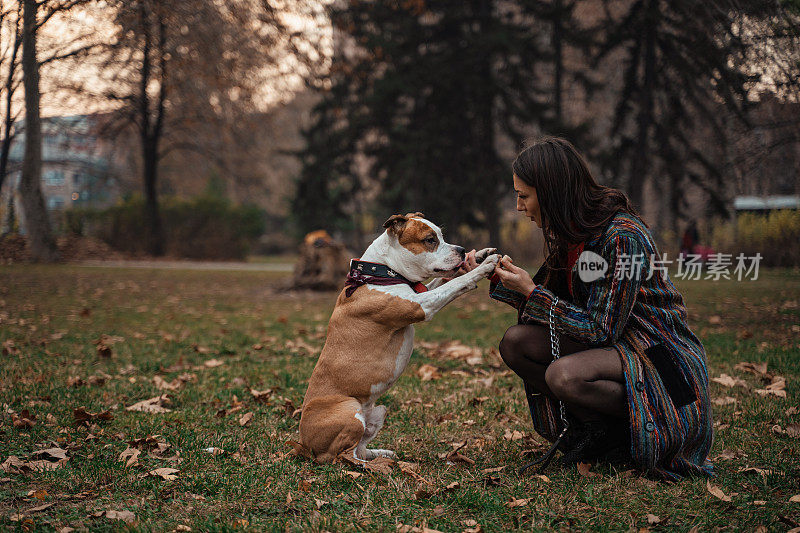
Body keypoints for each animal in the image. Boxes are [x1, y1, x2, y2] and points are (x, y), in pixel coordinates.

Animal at [298, 212, 500, 462]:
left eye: (441, 236)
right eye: (430, 240)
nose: (461, 250)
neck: (380, 273)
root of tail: (303, 444)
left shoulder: (422, 294)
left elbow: (445, 280)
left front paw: (480, 256)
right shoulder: (422, 305)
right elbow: (453, 284)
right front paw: (482, 268)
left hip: (377, 411)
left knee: (360, 446)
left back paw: (381, 455)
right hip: (350, 412)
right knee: (342, 455)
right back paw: (371, 466)